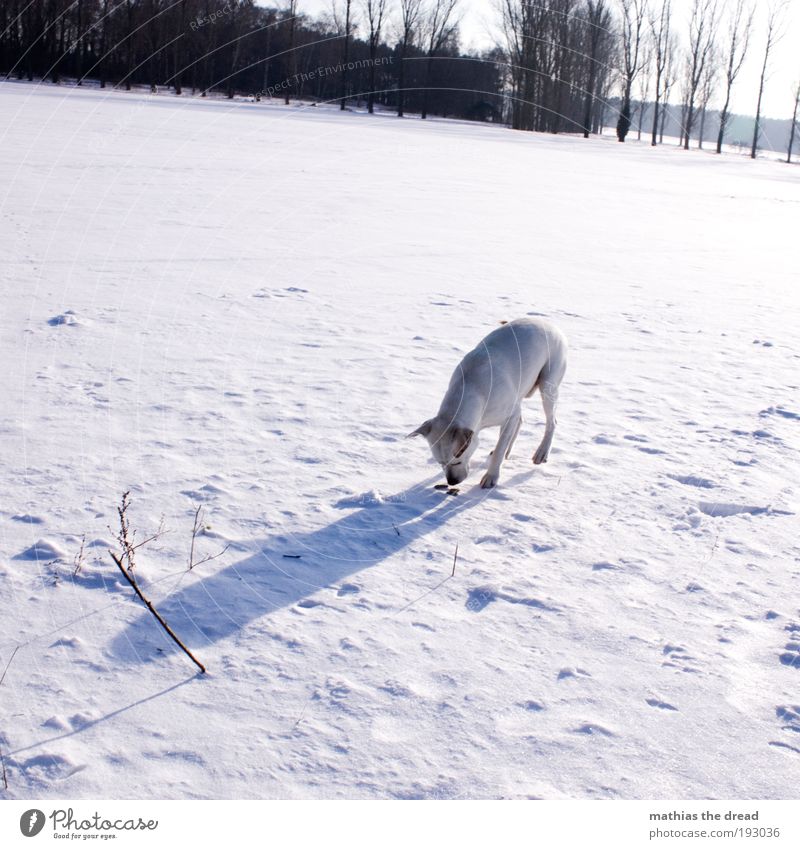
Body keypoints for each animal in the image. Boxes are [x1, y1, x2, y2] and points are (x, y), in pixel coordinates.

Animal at [410, 318, 564, 490]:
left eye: (456, 461)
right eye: (441, 463)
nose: (451, 482)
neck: (471, 386)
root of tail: (548, 323)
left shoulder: (509, 415)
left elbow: (499, 450)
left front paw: (491, 476)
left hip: (548, 385)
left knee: (552, 422)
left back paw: (542, 452)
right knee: (521, 421)